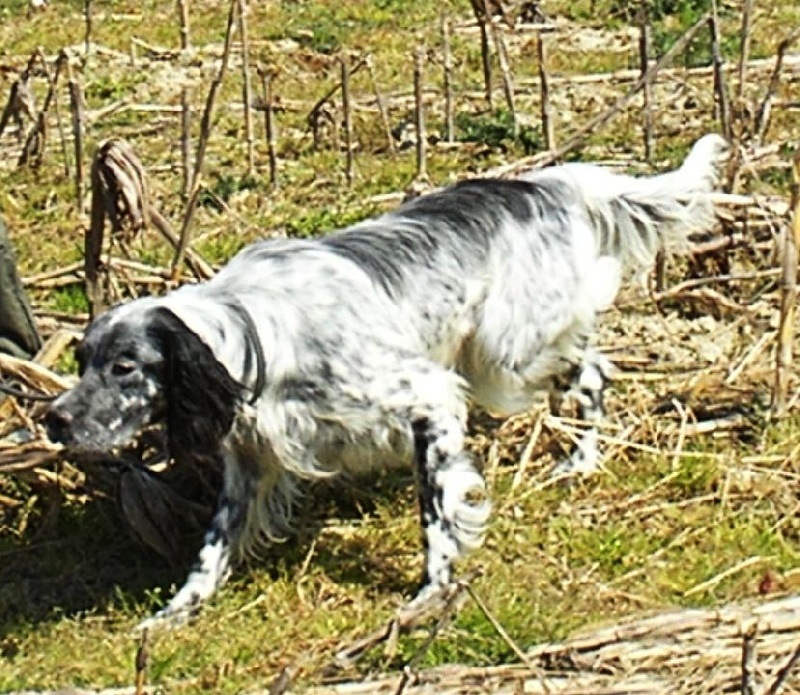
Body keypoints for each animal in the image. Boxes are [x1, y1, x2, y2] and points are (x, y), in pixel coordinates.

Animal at [47, 133, 728, 628]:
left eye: (125, 367)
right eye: (82, 361)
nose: (55, 419)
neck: (253, 333)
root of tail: (545, 184)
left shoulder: (429, 399)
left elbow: (438, 514)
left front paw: (433, 592)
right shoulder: (249, 460)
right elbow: (213, 548)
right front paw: (174, 613)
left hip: (505, 357)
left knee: (591, 372)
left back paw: (583, 460)